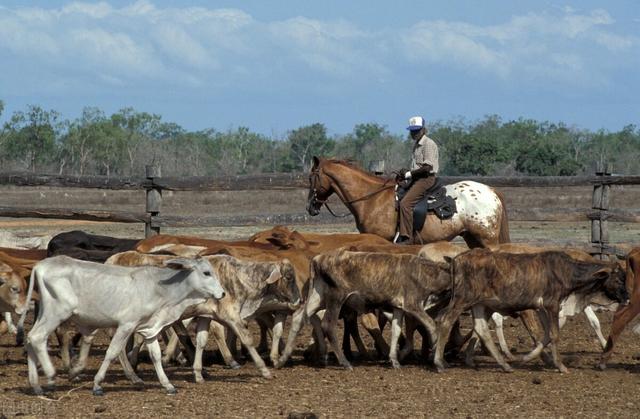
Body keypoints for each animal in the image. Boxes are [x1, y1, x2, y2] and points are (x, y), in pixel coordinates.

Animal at [18, 254, 225, 396]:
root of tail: (40, 265)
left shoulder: (150, 328)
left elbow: (156, 356)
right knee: (37, 338)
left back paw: (36, 385)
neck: (160, 288)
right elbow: (112, 352)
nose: (222, 293)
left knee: (30, 338)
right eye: (206, 273)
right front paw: (97, 384)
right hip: (57, 313)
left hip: (45, 313)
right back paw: (51, 376)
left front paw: (167, 385)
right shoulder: (126, 325)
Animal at [306, 158, 510, 249]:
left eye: (311, 178)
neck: (371, 199)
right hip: (473, 239)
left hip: (488, 240)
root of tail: (491, 190)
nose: (310, 207)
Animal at [432, 249, 628, 374]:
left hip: (479, 304)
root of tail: (456, 259)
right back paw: (440, 363)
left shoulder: (540, 307)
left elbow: (545, 334)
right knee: (446, 320)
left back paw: (505, 365)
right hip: (462, 300)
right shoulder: (552, 304)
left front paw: (528, 357)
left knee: (481, 329)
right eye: (619, 279)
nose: (627, 298)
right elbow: (554, 334)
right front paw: (561, 366)